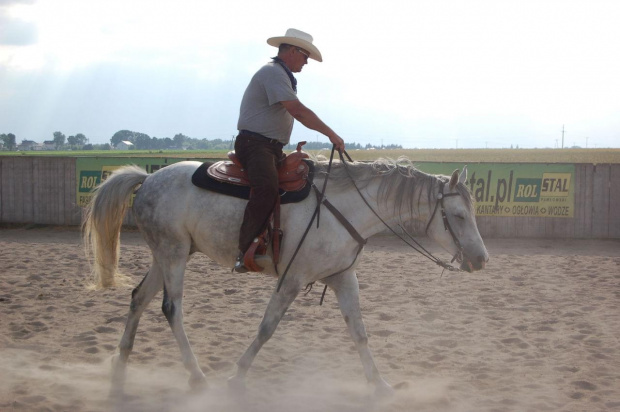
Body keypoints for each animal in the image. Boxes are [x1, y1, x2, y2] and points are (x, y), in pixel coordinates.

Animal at [82, 157, 490, 396]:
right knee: (171, 308)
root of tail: (148, 178)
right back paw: (196, 376)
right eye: (457, 216)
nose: (481, 259)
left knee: (138, 298)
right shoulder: (292, 279)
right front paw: (237, 376)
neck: (346, 209)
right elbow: (267, 328)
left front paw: (380, 384)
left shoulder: (343, 278)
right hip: (174, 253)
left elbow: (360, 333)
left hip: (165, 254)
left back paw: (119, 369)